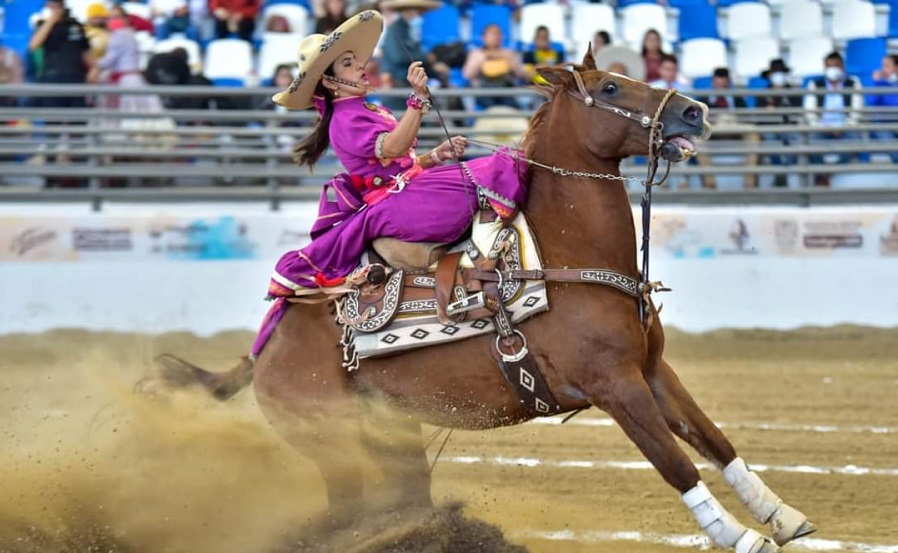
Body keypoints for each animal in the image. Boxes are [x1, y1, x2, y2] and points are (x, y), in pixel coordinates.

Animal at [158, 50, 816, 548]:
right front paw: (742, 536)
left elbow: (714, 440)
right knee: (346, 518)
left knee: (402, 506)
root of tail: (263, 352)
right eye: (610, 86)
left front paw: (783, 517)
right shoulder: (614, 386)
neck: (566, 257)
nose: (694, 110)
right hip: (333, 446)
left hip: (394, 437)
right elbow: (674, 462)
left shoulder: (653, 371)